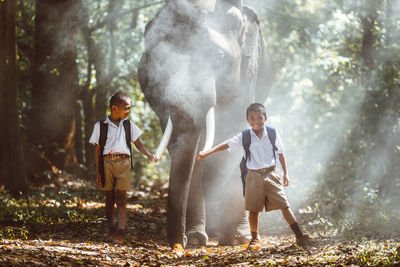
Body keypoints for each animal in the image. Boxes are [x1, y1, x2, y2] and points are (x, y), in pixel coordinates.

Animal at [138, 0, 276, 249]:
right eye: (154, 60)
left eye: (218, 57)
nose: (178, 244)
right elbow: (184, 147)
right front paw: (194, 238)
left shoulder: (247, 75)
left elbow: (231, 139)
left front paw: (227, 238)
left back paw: (235, 233)